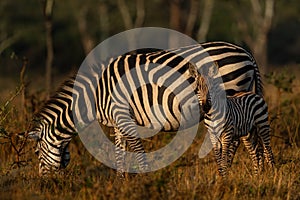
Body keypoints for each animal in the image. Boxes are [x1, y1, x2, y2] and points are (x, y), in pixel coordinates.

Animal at [27, 41, 262, 175]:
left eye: (37, 152)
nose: (44, 185)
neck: (95, 95)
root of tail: (246, 52)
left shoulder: (125, 118)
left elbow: (138, 154)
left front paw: (145, 181)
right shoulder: (117, 123)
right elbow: (119, 156)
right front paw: (121, 184)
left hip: (230, 96)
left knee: (236, 140)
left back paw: (225, 175)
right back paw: (253, 174)